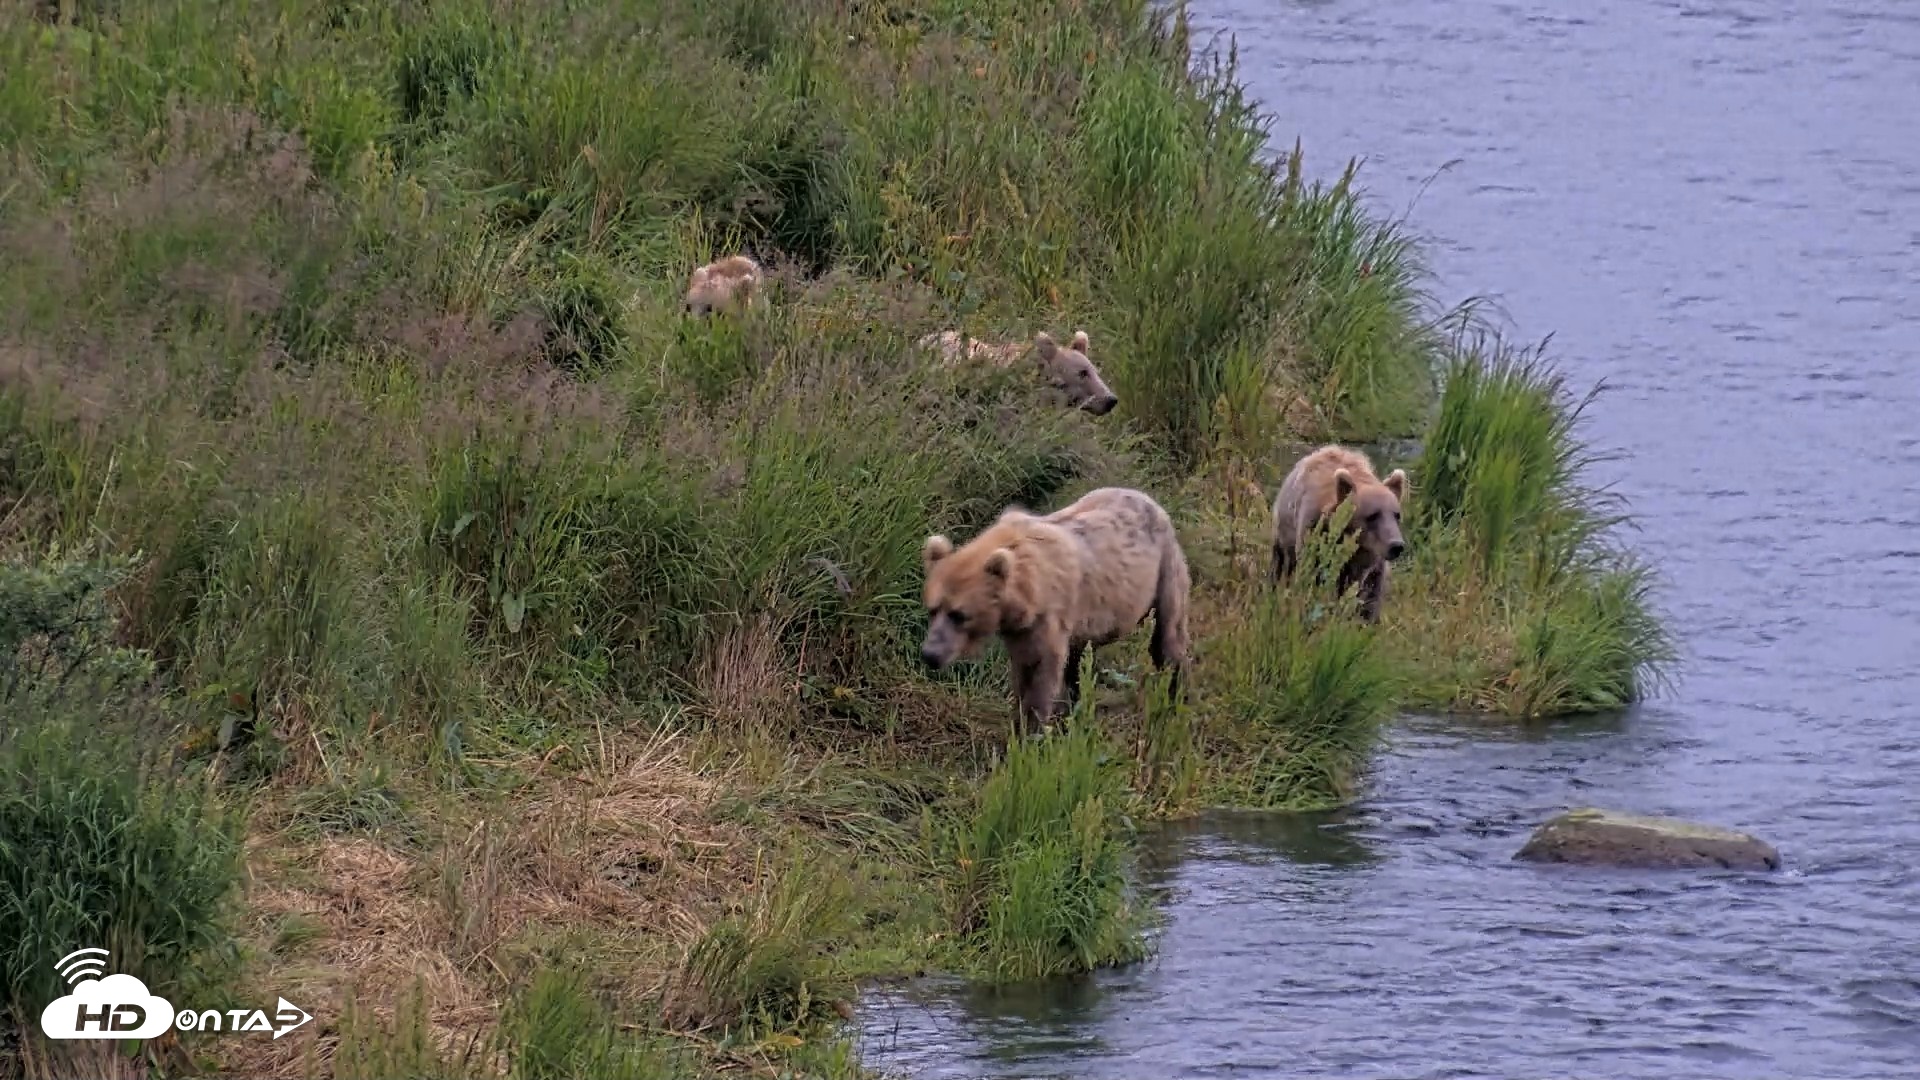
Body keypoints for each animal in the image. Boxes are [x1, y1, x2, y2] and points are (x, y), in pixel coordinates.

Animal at [919, 486, 1190, 738]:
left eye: (959, 614)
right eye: (933, 609)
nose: (930, 654)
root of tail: (1147, 498)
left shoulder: (1047, 616)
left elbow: (1040, 670)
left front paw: (1030, 732)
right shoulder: (1020, 628)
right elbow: (1025, 671)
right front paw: (1020, 724)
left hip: (1165, 570)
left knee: (1168, 637)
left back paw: (1175, 698)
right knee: (1078, 661)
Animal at [1269, 444, 1408, 623]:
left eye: (1397, 515)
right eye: (1373, 515)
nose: (1396, 545)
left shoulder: (1368, 559)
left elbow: (1361, 589)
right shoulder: (1315, 533)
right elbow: (1312, 573)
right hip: (1284, 532)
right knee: (1281, 563)